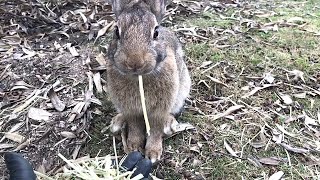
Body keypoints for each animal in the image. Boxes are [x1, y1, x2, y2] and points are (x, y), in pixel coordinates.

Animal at [105, 0, 191, 163]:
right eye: (116, 31)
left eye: (155, 32)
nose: (135, 62)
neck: (139, 77)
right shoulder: (130, 109)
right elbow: (135, 126)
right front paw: (133, 147)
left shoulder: (159, 109)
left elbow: (156, 129)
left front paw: (153, 154)